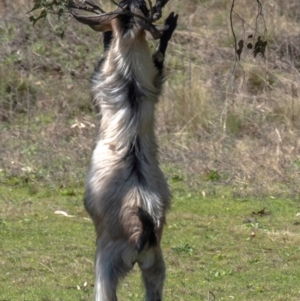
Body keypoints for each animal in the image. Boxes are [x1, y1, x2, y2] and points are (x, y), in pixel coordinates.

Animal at [71, 1, 177, 298]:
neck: (130, 85)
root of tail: (142, 228)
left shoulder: (98, 84)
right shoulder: (154, 81)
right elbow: (160, 57)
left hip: (106, 262)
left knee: (104, 290)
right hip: (155, 266)